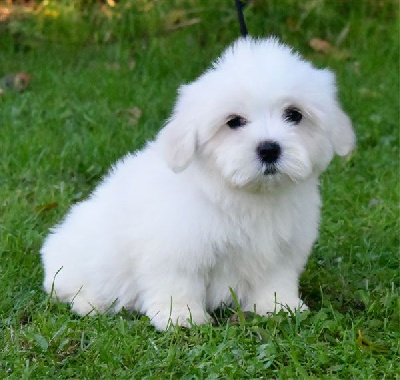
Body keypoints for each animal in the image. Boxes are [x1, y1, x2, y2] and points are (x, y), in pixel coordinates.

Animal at [40, 37, 354, 332]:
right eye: (234, 121)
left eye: (294, 114)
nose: (269, 149)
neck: (245, 195)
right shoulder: (175, 246)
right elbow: (178, 283)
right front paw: (180, 317)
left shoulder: (281, 249)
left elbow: (275, 279)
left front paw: (280, 306)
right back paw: (89, 304)